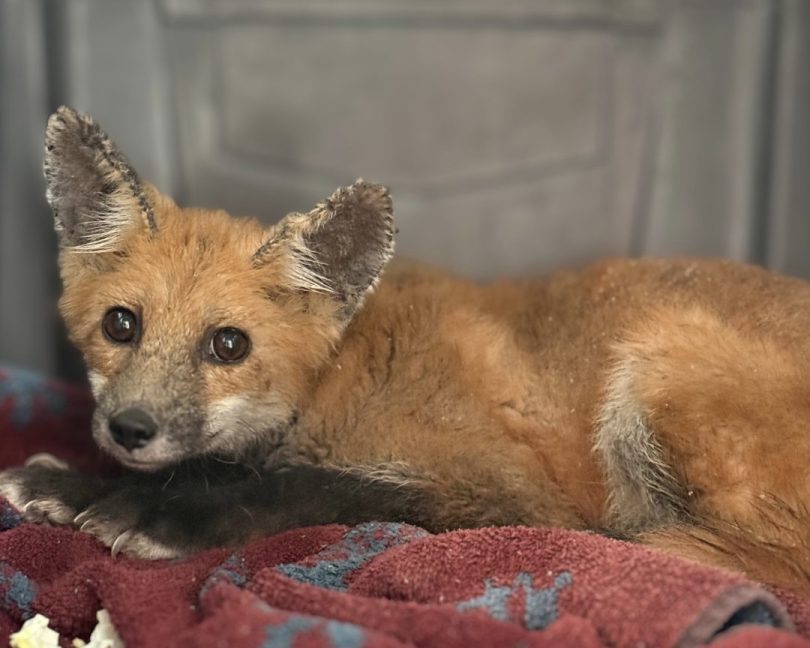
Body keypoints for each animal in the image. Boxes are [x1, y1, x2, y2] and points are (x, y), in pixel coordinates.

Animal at [2, 105, 810, 594]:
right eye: (121, 325)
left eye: (228, 344)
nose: (129, 430)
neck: (341, 375)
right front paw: (75, 483)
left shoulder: (500, 489)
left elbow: (298, 484)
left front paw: (155, 513)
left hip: (653, 366)